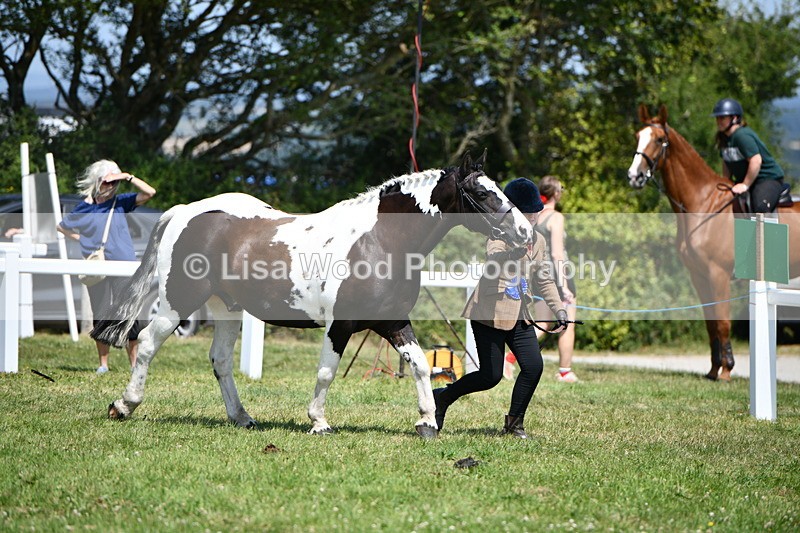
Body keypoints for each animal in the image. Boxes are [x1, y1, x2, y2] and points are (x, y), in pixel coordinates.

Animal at [91, 152, 533, 438]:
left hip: (227, 308)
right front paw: (318, 422)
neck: (379, 241)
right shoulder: (341, 325)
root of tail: (185, 211)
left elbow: (422, 365)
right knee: (147, 343)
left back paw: (242, 418)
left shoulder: (392, 321)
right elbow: (326, 372)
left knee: (220, 360)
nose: (525, 233)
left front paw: (426, 421)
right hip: (177, 302)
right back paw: (123, 405)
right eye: (482, 193)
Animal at [627, 104, 800, 381]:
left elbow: (722, 322)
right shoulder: (699, 276)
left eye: (659, 139)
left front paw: (726, 371)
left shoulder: (718, 274)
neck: (702, 204)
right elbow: (710, 324)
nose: (634, 175)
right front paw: (713, 369)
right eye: (637, 136)